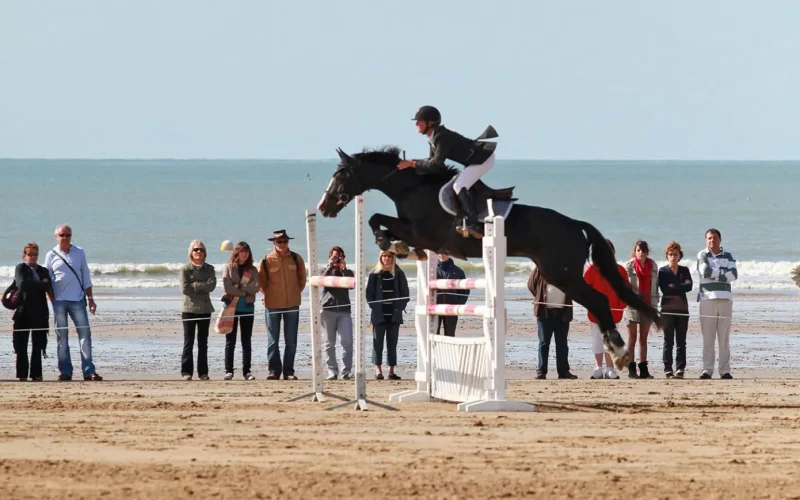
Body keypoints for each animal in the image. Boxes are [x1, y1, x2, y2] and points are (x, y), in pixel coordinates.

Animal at [318, 146, 664, 370]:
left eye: (341, 174)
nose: (324, 206)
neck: (413, 189)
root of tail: (575, 224)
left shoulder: (423, 234)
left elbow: (378, 220)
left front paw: (392, 244)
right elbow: (378, 219)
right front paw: (395, 246)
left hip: (562, 274)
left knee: (599, 301)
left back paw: (619, 352)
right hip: (558, 273)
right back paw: (617, 351)